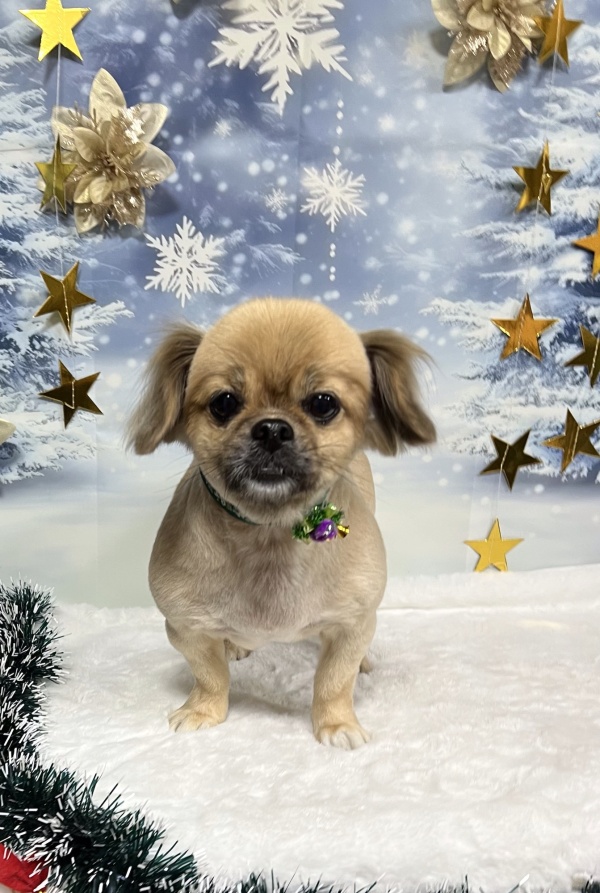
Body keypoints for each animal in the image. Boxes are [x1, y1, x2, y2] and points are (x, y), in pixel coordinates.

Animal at [128, 298, 435, 749]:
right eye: (223, 402)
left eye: (323, 403)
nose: (272, 428)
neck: (269, 534)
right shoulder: (185, 627)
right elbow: (210, 675)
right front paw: (202, 710)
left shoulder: (353, 623)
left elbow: (334, 681)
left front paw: (337, 724)